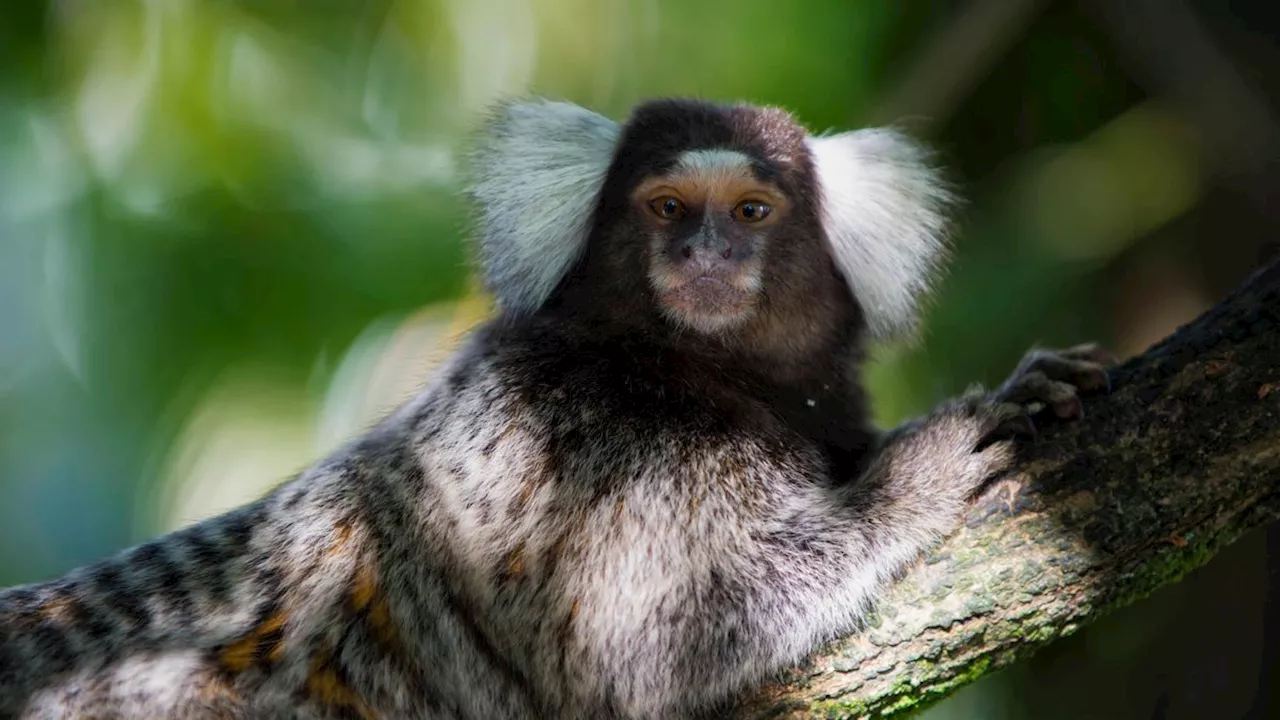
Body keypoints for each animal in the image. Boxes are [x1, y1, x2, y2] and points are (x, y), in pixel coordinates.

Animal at [0, 96, 1111, 717]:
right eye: (667, 207)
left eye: (753, 212)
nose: (707, 254)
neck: (687, 369)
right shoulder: (595, 444)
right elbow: (658, 636)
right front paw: (921, 467)